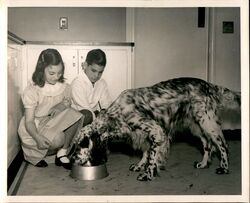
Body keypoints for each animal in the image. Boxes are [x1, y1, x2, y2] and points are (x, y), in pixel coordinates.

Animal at [72, 77, 240, 181]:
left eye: (82, 144)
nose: (71, 159)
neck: (116, 115)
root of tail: (210, 85)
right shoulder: (144, 134)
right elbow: (146, 152)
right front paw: (139, 165)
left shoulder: (156, 130)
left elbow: (152, 155)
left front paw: (148, 174)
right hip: (197, 126)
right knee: (207, 145)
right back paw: (203, 164)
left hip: (207, 123)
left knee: (223, 145)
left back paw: (224, 167)